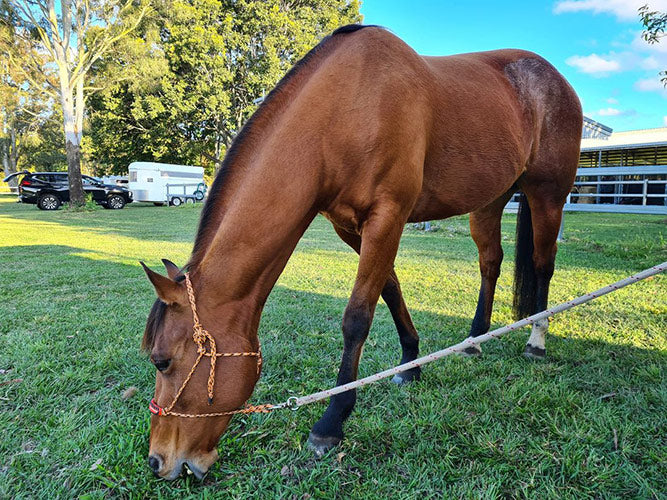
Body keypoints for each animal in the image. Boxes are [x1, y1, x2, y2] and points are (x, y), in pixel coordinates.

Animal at [142, 25, 584, 478]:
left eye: (162, 361)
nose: (159, 460)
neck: (345, 108)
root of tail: (555, 80)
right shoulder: (350, 227)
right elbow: (390, 289)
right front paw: (411, 363)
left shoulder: (387, 217)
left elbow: (357, 317)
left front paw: (331, 422)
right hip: (490, 201)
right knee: (490, 263)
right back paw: (475, 340)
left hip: (547, 195)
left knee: (543, 265)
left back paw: (536, 339)